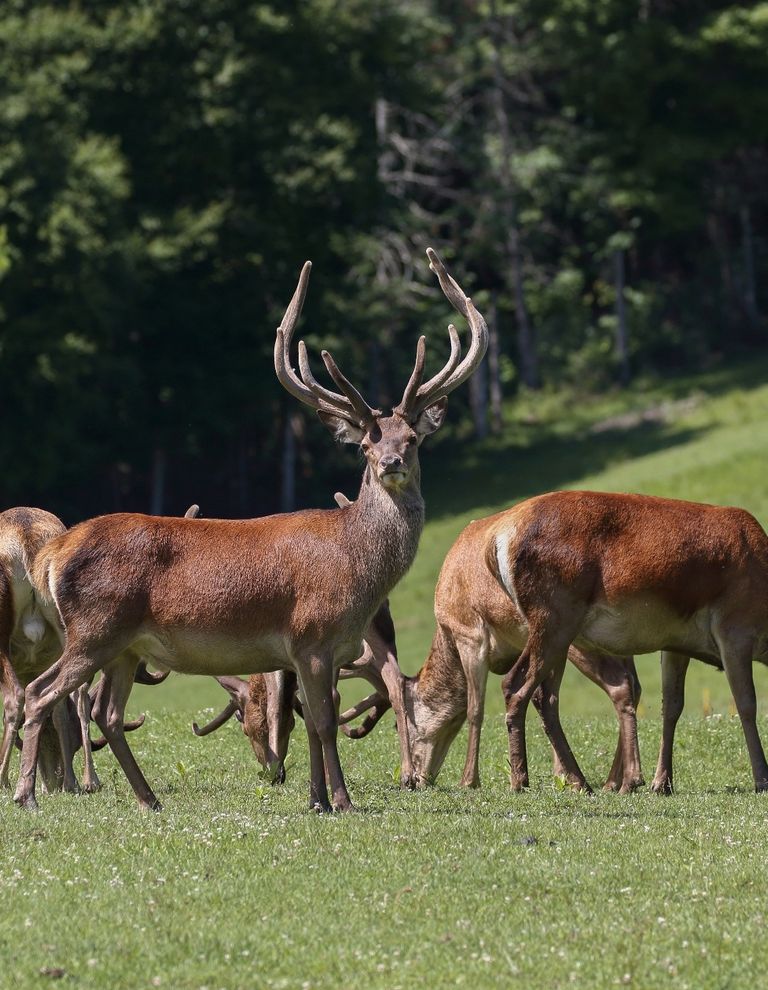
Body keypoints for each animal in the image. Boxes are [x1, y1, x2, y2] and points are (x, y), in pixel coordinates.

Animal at [13, 250, 486, 812]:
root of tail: (53, 553)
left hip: (123, 646)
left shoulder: (316, 650)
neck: (356, 568)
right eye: (366, 444)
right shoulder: (312, 633)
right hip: (94, 629)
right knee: (41, 693)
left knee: (105, 710)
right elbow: (324, 722)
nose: (390, 462)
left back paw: (148, 798)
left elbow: (311, 723)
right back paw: (27, 795)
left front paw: (316, 799)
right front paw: (342, 800)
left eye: (412, 438)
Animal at [402, 512, 640, 792]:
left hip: (574, 642)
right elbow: (540, 698)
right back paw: (618, 779)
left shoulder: (470, 635)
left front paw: (470, 780)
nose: (414, 780)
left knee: (620, 686)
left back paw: (617, 781)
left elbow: (476, 709)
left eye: (400, 724)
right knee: (634, 685)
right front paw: (558, 774)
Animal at [496, 492, 768, 796]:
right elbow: (746, 703)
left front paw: (662, 783)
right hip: (553, 618)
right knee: (515, 684)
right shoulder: (735, 628)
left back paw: (581, 781)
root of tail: (499, 538)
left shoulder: (676, 643)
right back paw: (521, 780)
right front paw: (762, 778)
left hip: (559, 633)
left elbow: (671, 706)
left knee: (545, 697)